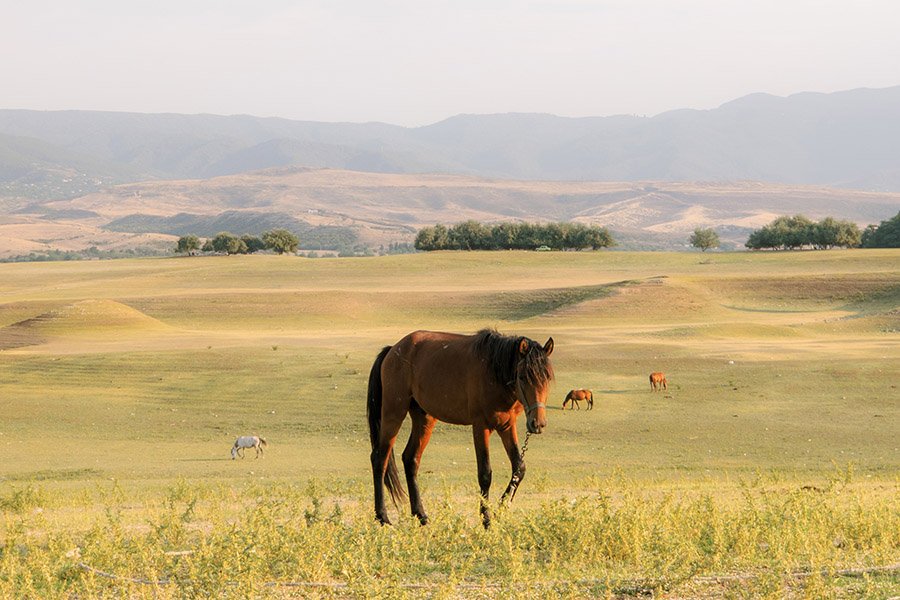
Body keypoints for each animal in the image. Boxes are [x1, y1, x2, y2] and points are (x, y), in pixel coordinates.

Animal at [368, 328, 552, 528]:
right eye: (523, 377)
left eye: (548, 378)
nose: (538, 423)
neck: (493, 371)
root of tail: (393, 349)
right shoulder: (480, 426)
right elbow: (485, 474)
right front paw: (486, 518)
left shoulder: (507, 426)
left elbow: (519, 468)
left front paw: (499, 510)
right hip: (394, 413)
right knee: (380, 459)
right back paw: (382, 517)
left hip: (424, 418)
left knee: (411, 459)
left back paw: (421, 515)